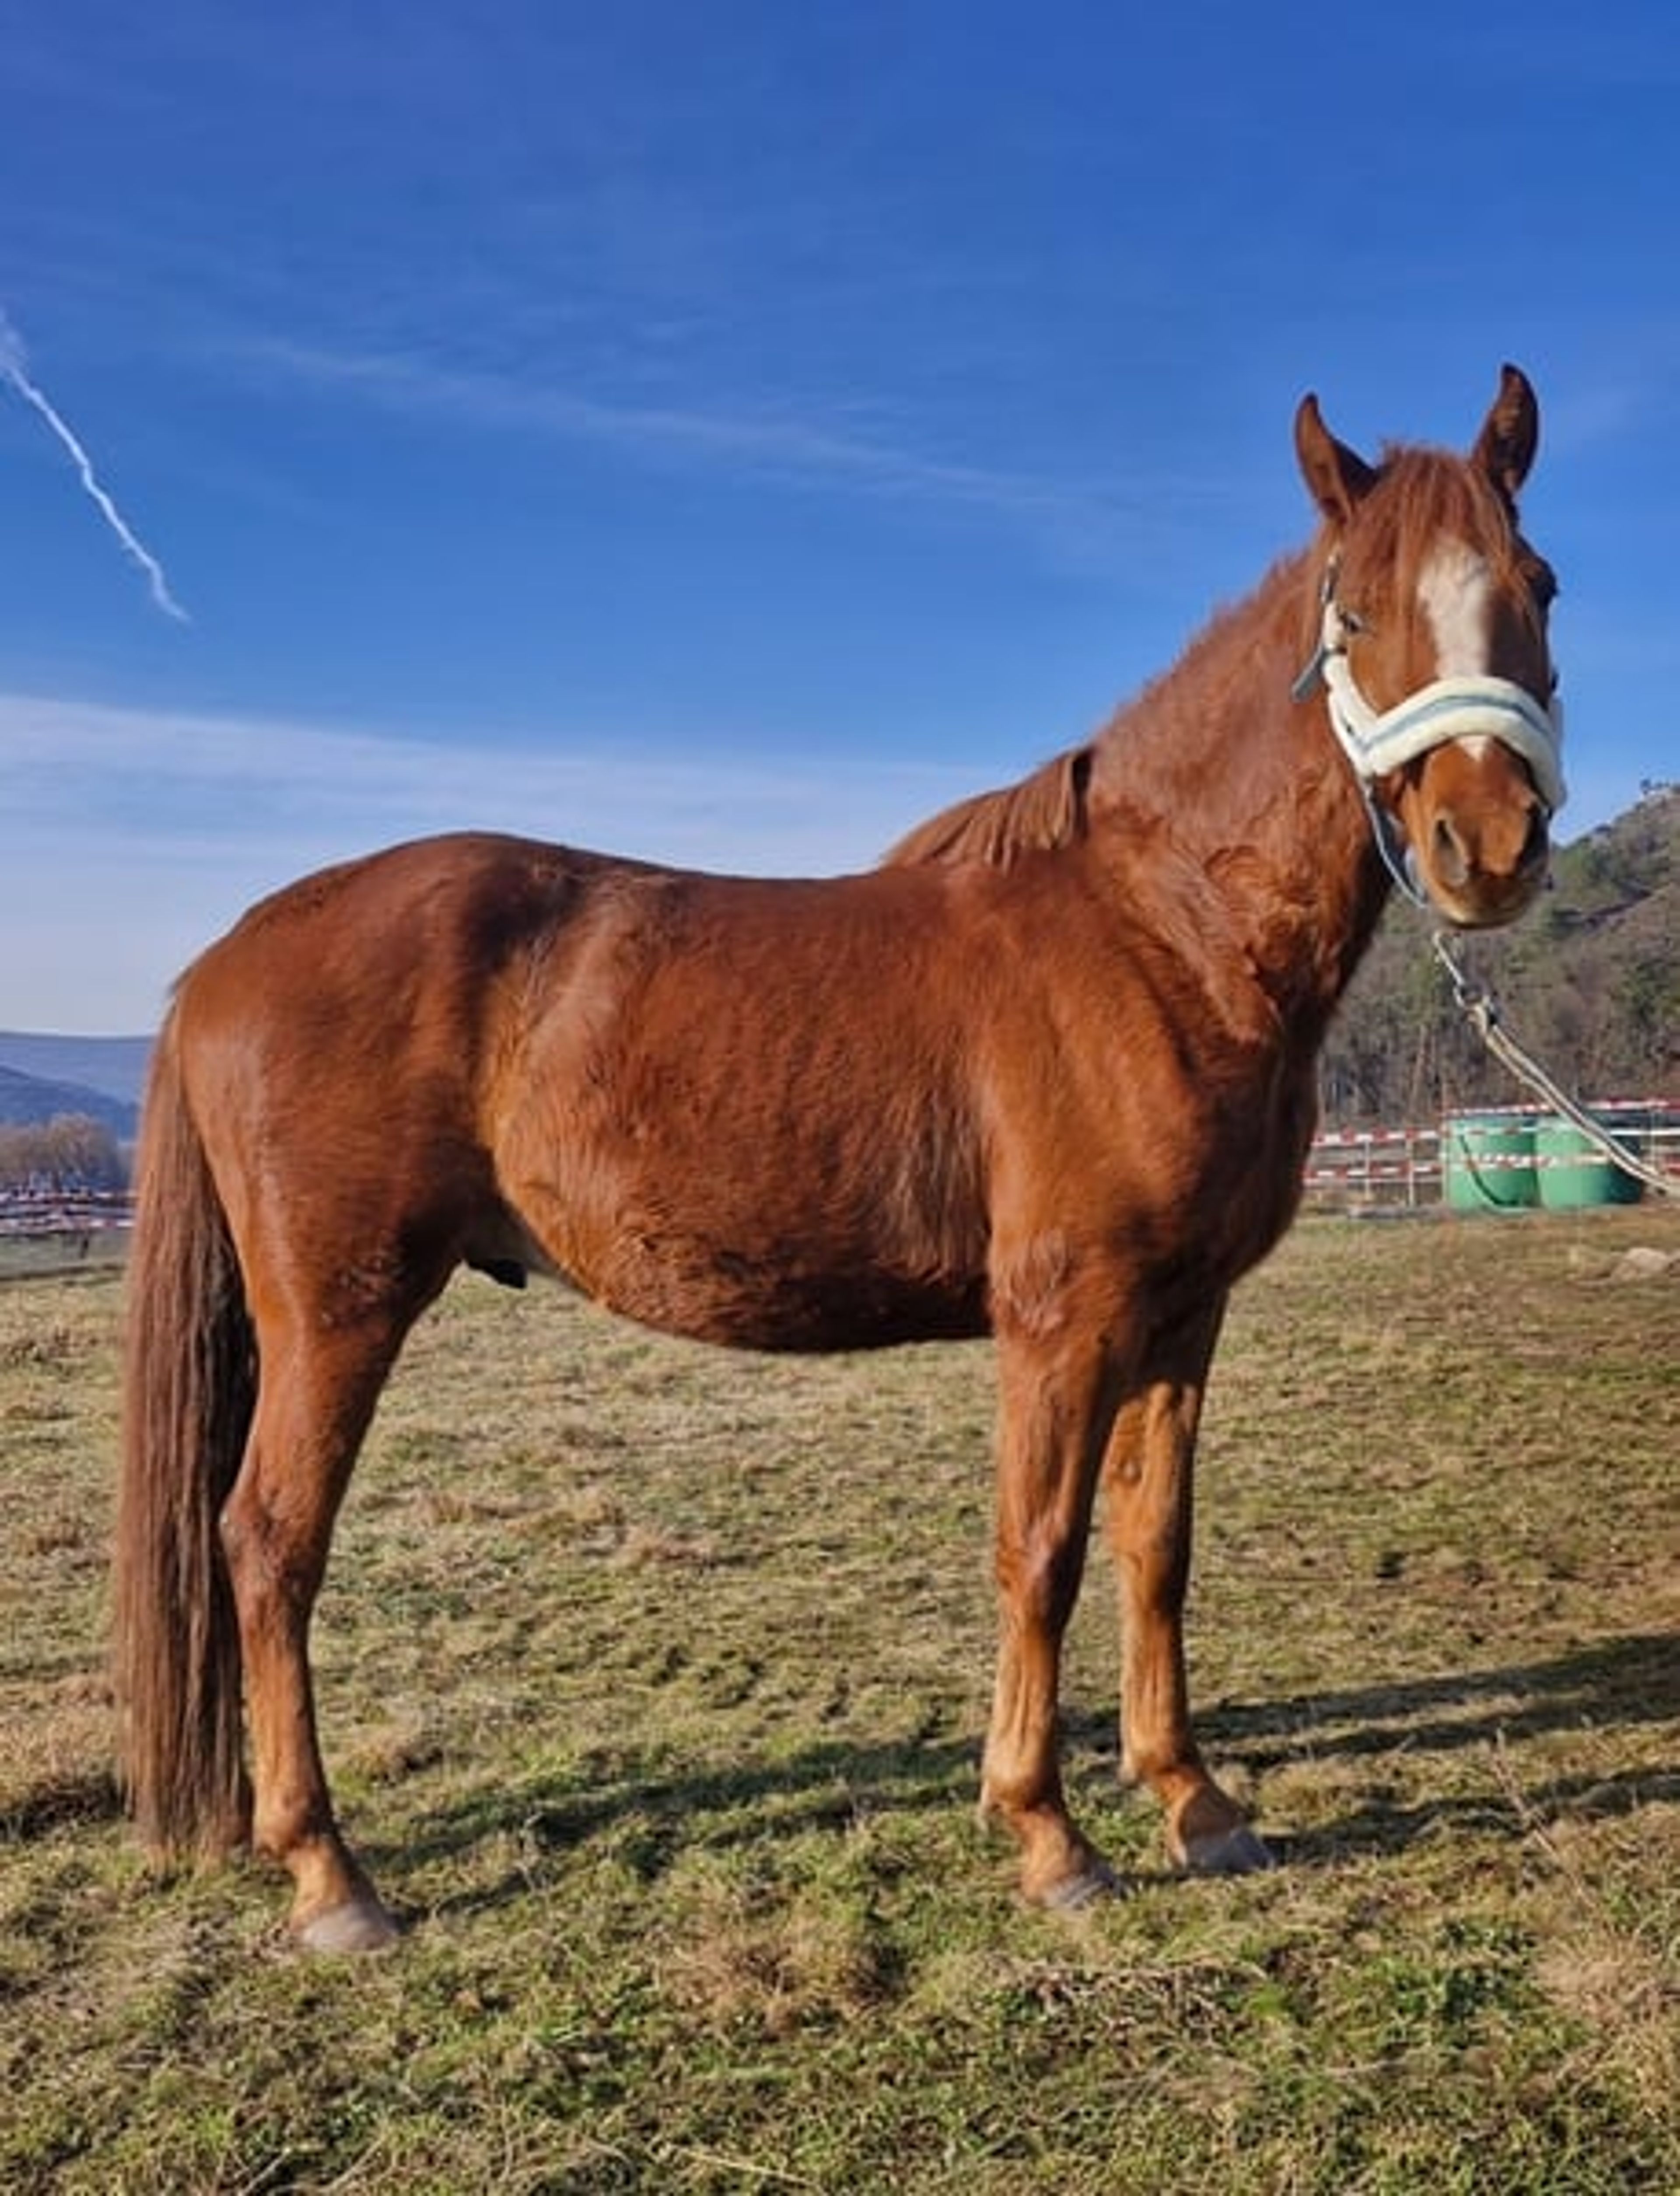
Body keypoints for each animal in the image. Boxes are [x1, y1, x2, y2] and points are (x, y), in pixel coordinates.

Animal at [113, 367, 1563, 1951]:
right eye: (1353, 611)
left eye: (1539, 584)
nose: (1488, 845)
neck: (1160, 931)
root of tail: (227, 953)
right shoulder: (1064, 1317)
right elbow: (1040, 1549)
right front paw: (1048, 1831)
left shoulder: (1184, 1314)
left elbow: (1155, 1547)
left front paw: (1196, 1803)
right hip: (338, 1313)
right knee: (268, 1544)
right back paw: (331, 1875)